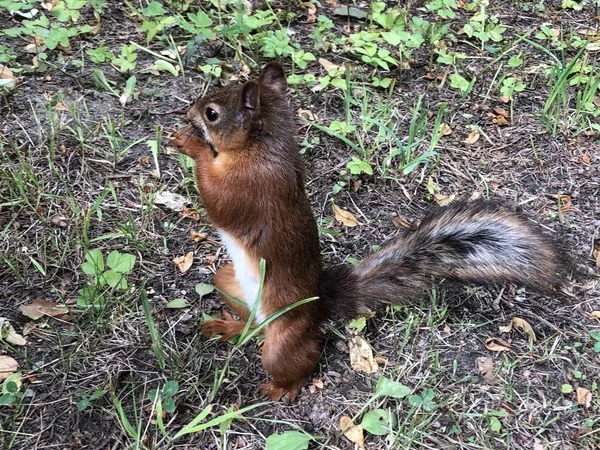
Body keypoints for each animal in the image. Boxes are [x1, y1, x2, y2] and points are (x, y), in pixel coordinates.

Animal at [172, 62, 564, 400]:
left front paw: (189, 143)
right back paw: (231, 328)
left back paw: (284, 387)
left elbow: (217, 201)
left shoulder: (249, 188)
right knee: (251, 323)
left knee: (302, 356)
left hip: (285, 336)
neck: (265, 147)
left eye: (212, 113)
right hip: (229, 284)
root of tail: (318, 305)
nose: (188, 113)